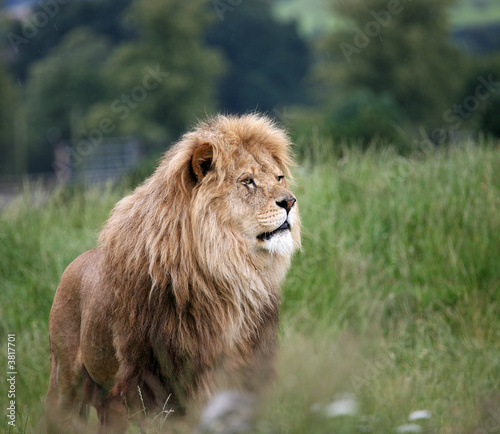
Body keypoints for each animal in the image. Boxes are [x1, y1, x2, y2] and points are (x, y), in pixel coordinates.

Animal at [46, 113, 300, 432]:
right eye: (247, 182)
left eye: (278, 178)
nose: (290, 201)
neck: (229, 273)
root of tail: (74, 263)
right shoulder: (156, 379)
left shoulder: (245, 368)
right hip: (66, 380)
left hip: (109, 403)